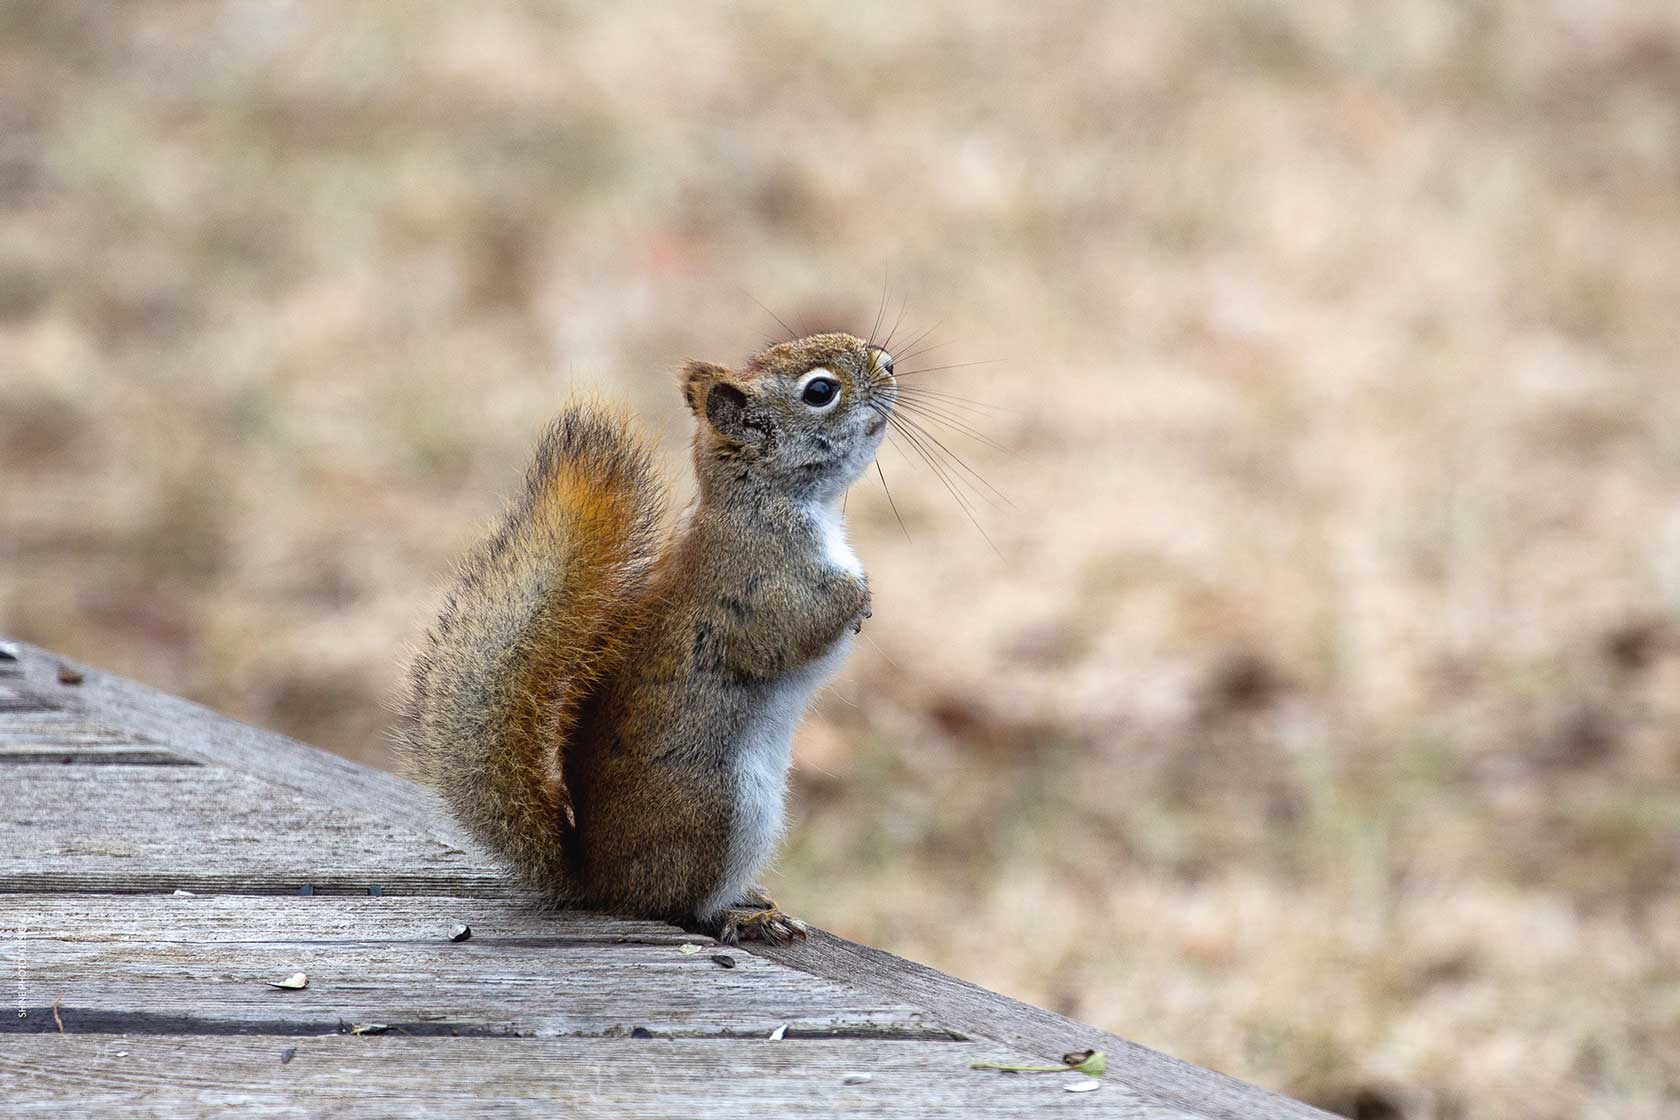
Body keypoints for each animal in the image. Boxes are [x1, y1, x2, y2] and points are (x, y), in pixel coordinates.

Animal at [396, 335, 893, 947]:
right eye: (820, 390)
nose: (889, 365)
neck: (763, 499)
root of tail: (598, 879)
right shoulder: (762, 583)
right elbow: (794, 631)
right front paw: (859, 597)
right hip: (721, 811)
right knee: (681, 904)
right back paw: (741, 917)